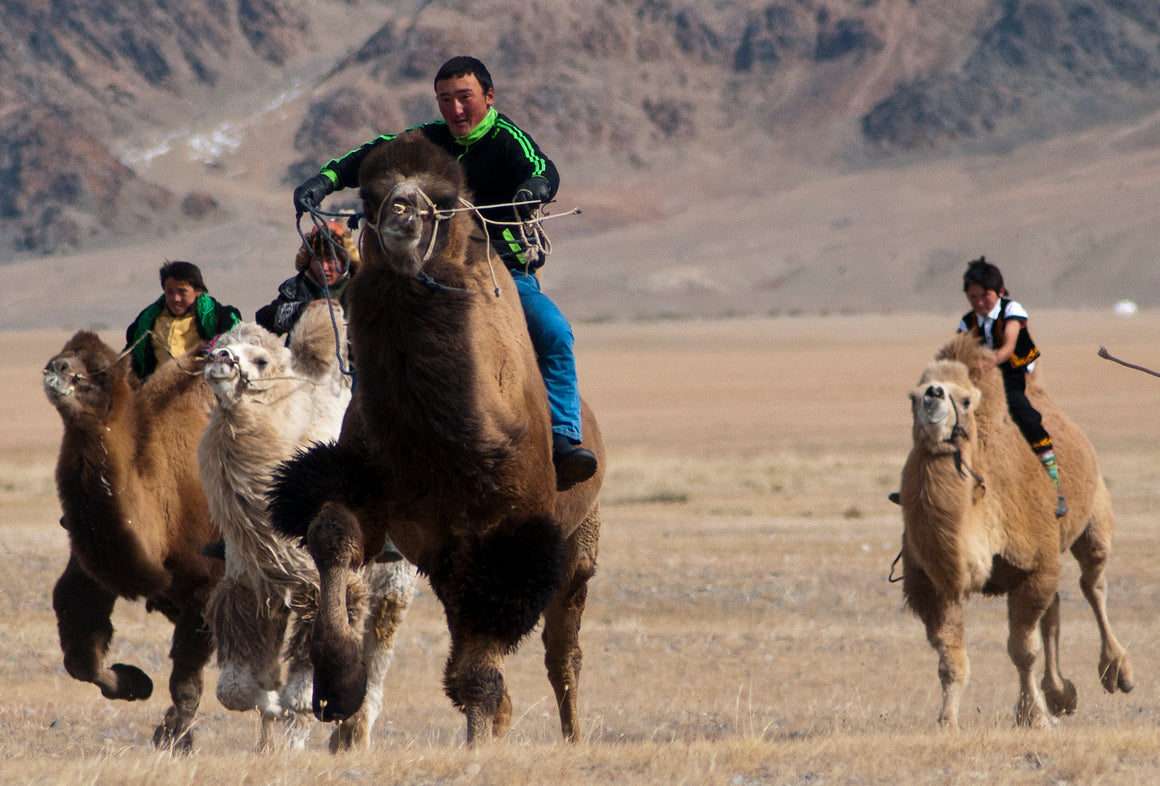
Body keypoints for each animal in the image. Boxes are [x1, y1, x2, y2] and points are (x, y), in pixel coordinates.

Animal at [43, 331, 221, 751]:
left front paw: (174, 737)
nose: (57, 369)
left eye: (100, 372)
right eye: (61, 355)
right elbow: (81, 658)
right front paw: (134, 683)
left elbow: (185, 679)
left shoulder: (206, 586)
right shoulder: (90, 572)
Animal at [199, 303, 417, 755]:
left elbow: (304, 689)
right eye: (219, 343)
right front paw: (267, 714)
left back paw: (353, 735)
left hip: (395, 578)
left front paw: (293, 734)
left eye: (261, 360)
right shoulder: (251, 579)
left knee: (378, 648)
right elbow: (234, 689)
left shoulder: (320, 584)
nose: (220, 359)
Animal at [266, 129, 603, 746]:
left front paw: (478, 742)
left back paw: (571, 735)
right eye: (369, 195)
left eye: (443, 200)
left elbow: (482, 658)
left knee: (561, 650)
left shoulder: (507, 530)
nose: (403, 213)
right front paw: (335, 687)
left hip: (577, 543)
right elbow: (331, 533)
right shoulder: (393, 507)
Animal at [895, 331, 1132, 732]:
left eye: (966, 399)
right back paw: (1060, 694)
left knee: (1093, 584)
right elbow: (950, 659)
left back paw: (1117, 672)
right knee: (1055, 608)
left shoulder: (1034, 564)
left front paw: (1031, 717)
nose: (932, 395)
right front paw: (947, 722)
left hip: (1094, 518)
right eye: (912, 396)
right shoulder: (930, 586)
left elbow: (1022, 651)